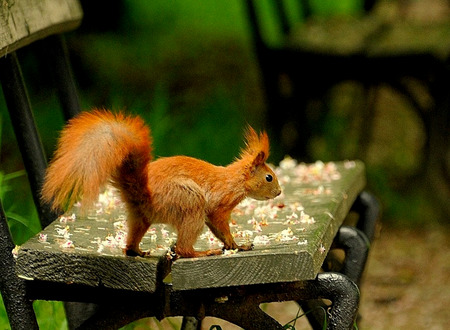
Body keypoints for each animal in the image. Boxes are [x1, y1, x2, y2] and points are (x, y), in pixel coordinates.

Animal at [42, 110, 282, 258]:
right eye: (269, 177)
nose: (279, 192)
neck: (235, 179)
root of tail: (144, 193)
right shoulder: (219, 203)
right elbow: (220, 224)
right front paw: (236, 244)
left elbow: (218, 231)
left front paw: (234, 246)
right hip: (189, 201)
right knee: (184, 248)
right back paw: (201, 252)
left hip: (140, 218)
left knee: (131, 244)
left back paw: (137, 251)